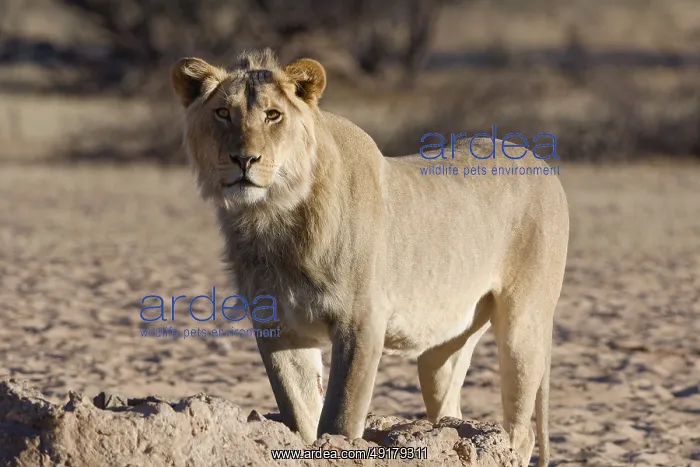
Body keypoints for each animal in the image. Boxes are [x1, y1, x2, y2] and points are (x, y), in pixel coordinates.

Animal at [171, 48, 569, 467]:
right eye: (222, 113)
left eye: (273, 115)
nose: (243, 159)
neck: (272, 217)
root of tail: (539, 161)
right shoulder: (278, 326)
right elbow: (300, 412)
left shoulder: (361, 320)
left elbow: (340, 416)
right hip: (444, 344)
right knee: (450, 410)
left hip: (524, 324)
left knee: (521, 429)